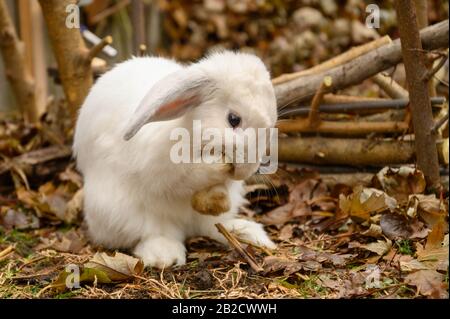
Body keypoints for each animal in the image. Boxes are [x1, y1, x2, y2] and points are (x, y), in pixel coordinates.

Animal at [73, 51, 278, 268]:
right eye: (233, 119)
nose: (245, 170)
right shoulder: (161, 170)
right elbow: (184, 177)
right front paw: (216, 166)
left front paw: (217, 199)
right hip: (122, 212)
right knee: (151, 233)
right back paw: (164, 255)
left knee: (211, 227)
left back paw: (248, 234)